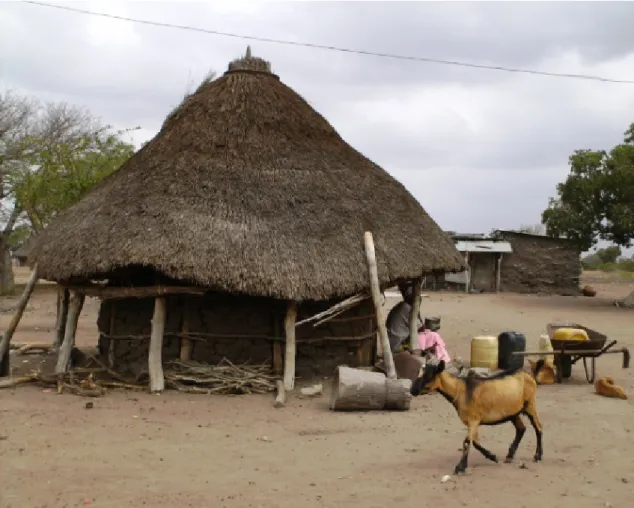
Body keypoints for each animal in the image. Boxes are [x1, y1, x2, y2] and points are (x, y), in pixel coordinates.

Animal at [412, 360, 540, 474]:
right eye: (418, 372)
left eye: (428, 375)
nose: (413, 390)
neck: (461, 390)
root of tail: (527, 374)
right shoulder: (473, 422)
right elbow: (474, 441)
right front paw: (491, 456)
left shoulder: (473, 419)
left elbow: (467, 441)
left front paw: (460, 467)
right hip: (512, 412)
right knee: (521, 428)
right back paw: (510, 456)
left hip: (530, 404)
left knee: (538, 427)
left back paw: (538, 455)